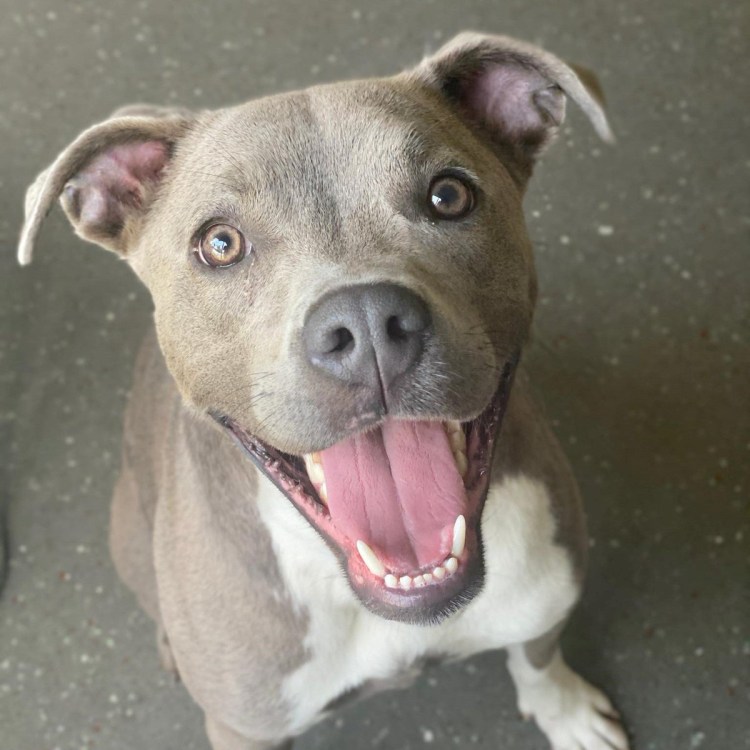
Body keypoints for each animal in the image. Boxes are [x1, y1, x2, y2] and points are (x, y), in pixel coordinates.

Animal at [18, 32, 628, 750]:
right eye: (219, 243)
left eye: (449, 196)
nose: (365, 323)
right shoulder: (245, 726)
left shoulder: (547, 593)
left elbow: (537, 654)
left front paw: (564, 709)